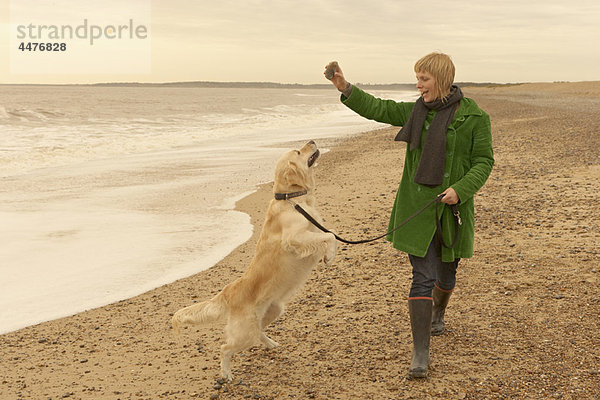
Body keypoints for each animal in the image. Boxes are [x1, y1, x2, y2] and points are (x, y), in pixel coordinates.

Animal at [171, 141, 336, 382]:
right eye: (298, 152)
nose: (312, 141)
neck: (291, 199)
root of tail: (227, 292)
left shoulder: (312, 229)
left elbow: (328, 233)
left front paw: (328, 254)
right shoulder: (293, 238)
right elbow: (330, 235)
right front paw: (329, 255)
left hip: (273, 312)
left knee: (259, 333)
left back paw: (272, 344)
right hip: (244, 333)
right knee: (225, 348)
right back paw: (226, 373)